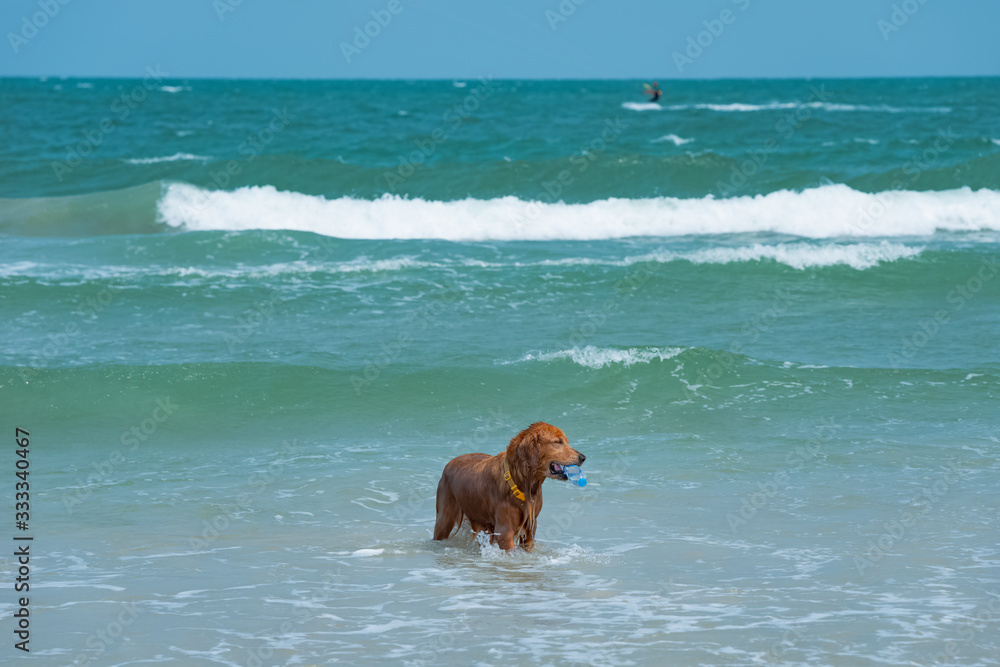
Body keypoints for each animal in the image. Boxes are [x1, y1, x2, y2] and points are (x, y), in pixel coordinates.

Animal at [432, 426, 584, 552]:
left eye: (566, 441)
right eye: (557, 442)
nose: (583, 457)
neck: (522, 482)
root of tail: (449, 463)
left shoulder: (530, 528)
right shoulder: (505, 532)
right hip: (445, 518)